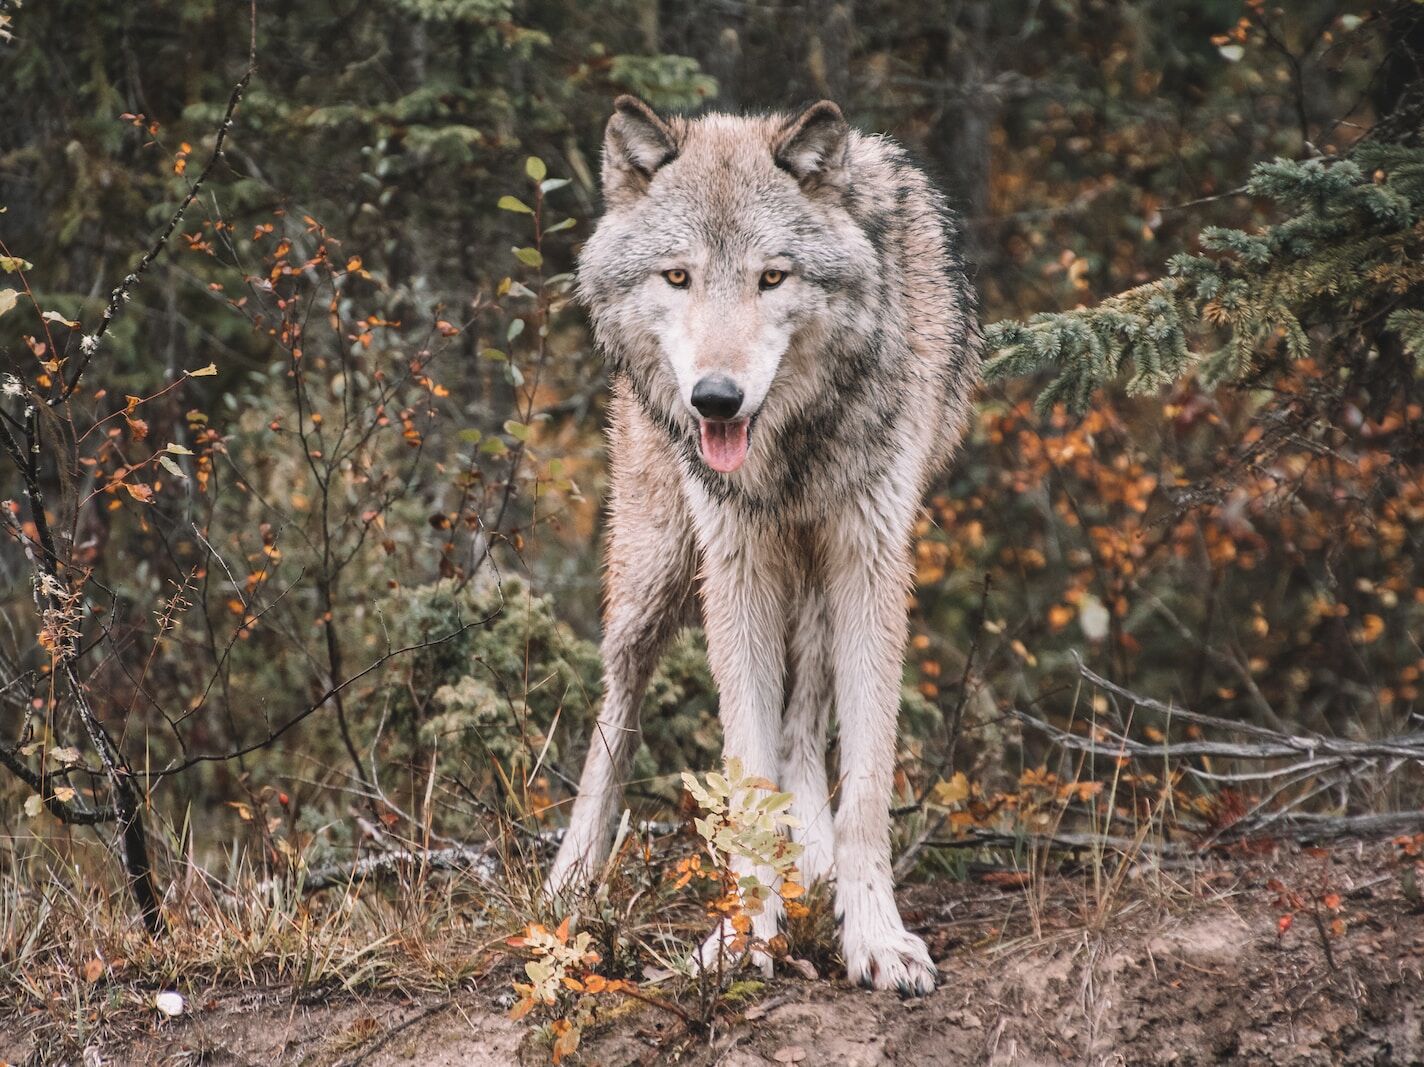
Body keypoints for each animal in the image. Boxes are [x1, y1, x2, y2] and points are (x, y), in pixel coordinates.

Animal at [546, 96, 981, 994]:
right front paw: (746, 937)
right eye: (678, 276)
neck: (794, 443)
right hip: (656, 572)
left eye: (771, 278)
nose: (715, 398)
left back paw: (812, 859)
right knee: (617, 705)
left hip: (810, 578)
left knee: (805, 715)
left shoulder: (871, 557)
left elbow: (865, 783)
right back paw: (571, 879)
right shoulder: (735, 564)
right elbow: (744, 772)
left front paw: (875, 936)